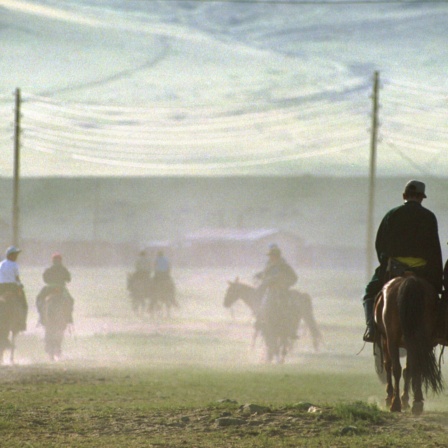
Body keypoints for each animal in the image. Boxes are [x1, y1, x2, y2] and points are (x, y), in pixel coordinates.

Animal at [372, 272, 442, 416]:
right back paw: (414, 402)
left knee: (397, 368)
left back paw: (396, 403)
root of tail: (410, 280)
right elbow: (409, 369)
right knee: (414, 367)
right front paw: (405, 399)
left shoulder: (386, 339)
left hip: (393, 339)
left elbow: (392, 366)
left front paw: (391, 397)